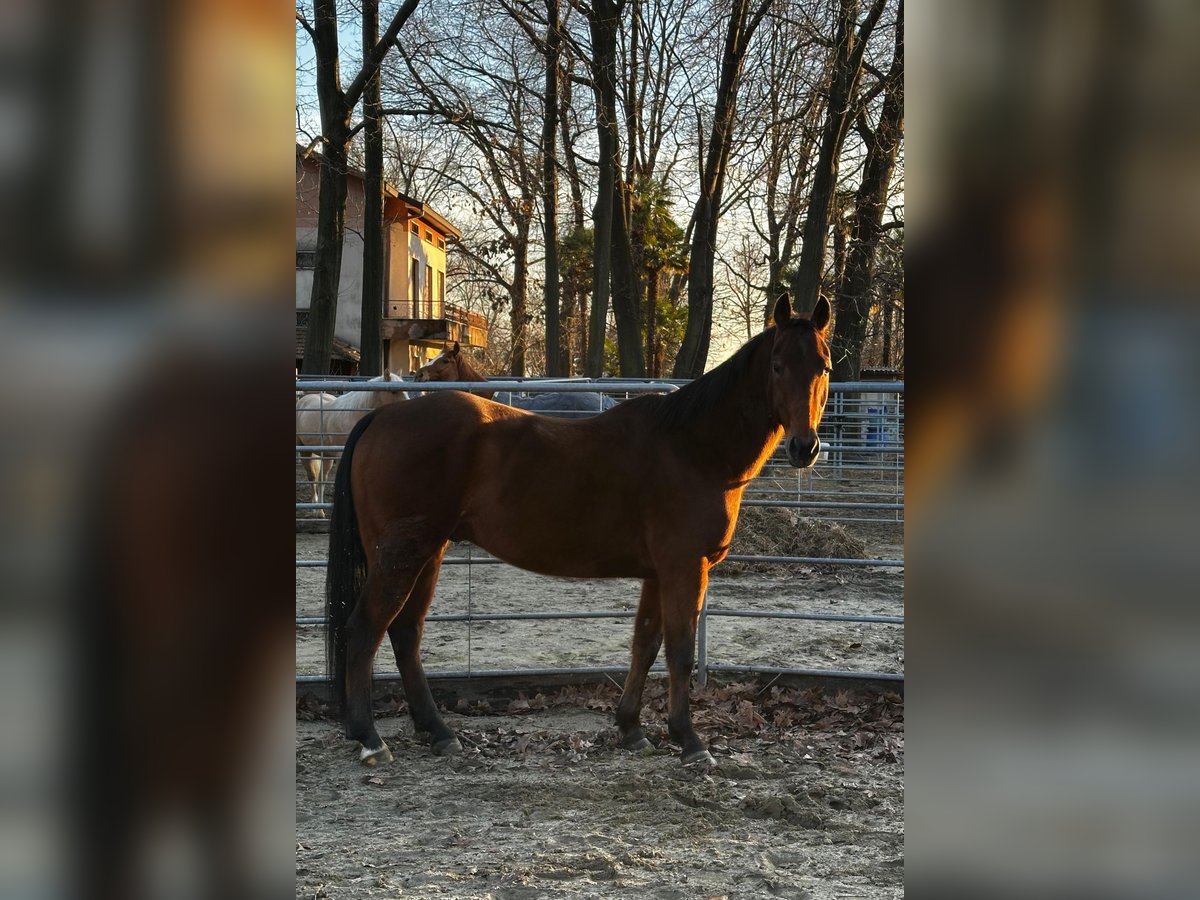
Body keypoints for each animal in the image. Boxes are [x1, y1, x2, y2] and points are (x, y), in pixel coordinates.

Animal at [295, 370, 407, 515]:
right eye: (393, 391)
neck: (353, 416)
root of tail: (303, 400)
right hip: (305, 450)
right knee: (313, 477)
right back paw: (316, 509)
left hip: (326, 456)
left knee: (322, 479)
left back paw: (320, 510)